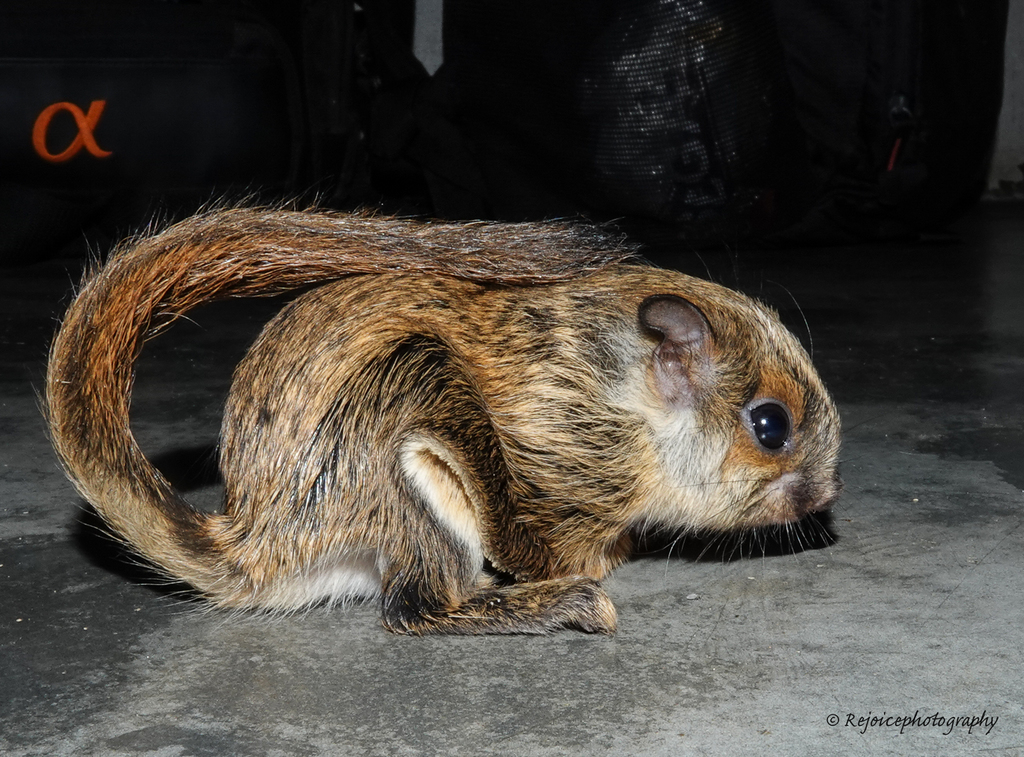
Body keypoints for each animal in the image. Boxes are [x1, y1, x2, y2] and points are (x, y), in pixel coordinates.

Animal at [46, 207, 842, 635]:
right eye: (770, 426)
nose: (823, 498)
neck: (619, 398)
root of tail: (258, 542)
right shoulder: (555, 453)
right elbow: (525, 534)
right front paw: (560, 575)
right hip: (399, 440)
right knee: (417, 610)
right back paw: (548, 604)